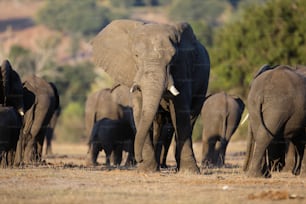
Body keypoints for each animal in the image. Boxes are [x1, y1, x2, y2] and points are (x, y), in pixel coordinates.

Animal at [91, 19, 210, 173]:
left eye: (173, 58)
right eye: (136, 56)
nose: (139, 159)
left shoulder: (183, 68)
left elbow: (181, 112)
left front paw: (190, 171)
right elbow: (139, 111)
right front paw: (147, 170)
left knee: (191, 117)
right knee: (158, 122)